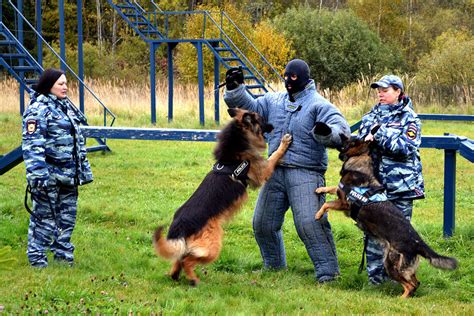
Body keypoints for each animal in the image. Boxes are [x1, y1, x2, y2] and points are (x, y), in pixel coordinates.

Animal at [154, 107, 290, 286]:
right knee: (187, 260)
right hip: (214, 245)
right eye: (261, 119)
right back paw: (194, 279)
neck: (235, 147)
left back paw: (176, 276)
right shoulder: (263, 171)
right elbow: (274, 156)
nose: (273, 125)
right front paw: (284, 143)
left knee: (179, 259)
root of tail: (179, 226)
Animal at [314, 137, 456, 298]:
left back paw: (400, 298)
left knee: (410, 285)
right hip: (405, 268)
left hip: (391, 264)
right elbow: (333, 188)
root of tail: (418, 242)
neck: (359, 161)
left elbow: (327, 204)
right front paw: (321, 189)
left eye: (350, 140)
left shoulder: (344, 204)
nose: (341, 135)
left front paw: (318, 214)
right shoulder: (340, 192)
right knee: (416, 282)